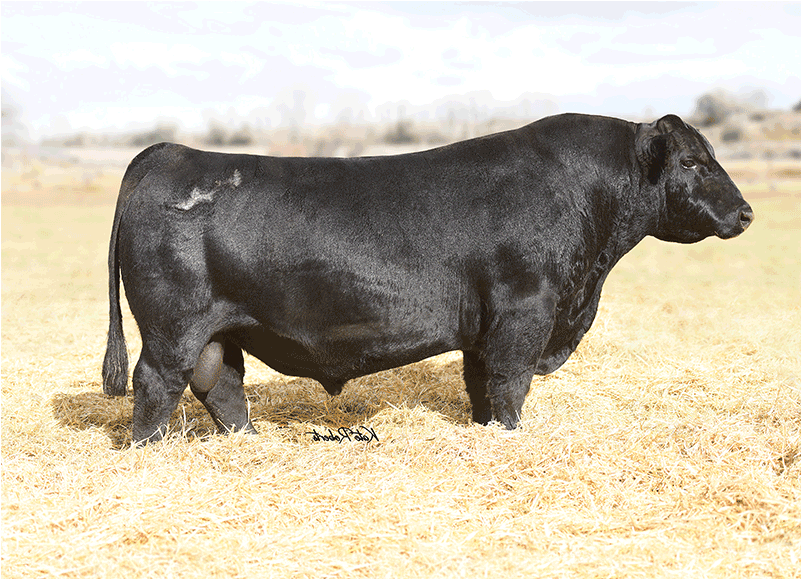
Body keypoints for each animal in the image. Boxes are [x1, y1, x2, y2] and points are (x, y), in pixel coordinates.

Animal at [102, 113, 753, 444]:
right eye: (692, 161)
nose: (745, 213)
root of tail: (170, 152)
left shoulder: (485, 326)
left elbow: (482, 385)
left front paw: (488, 432)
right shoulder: (525, 310)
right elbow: (510, 382)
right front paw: (513, 438)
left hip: (219, 328)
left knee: (220, 384)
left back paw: (248, 443)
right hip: (172, 326)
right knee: (156, 383)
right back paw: (149, 450)